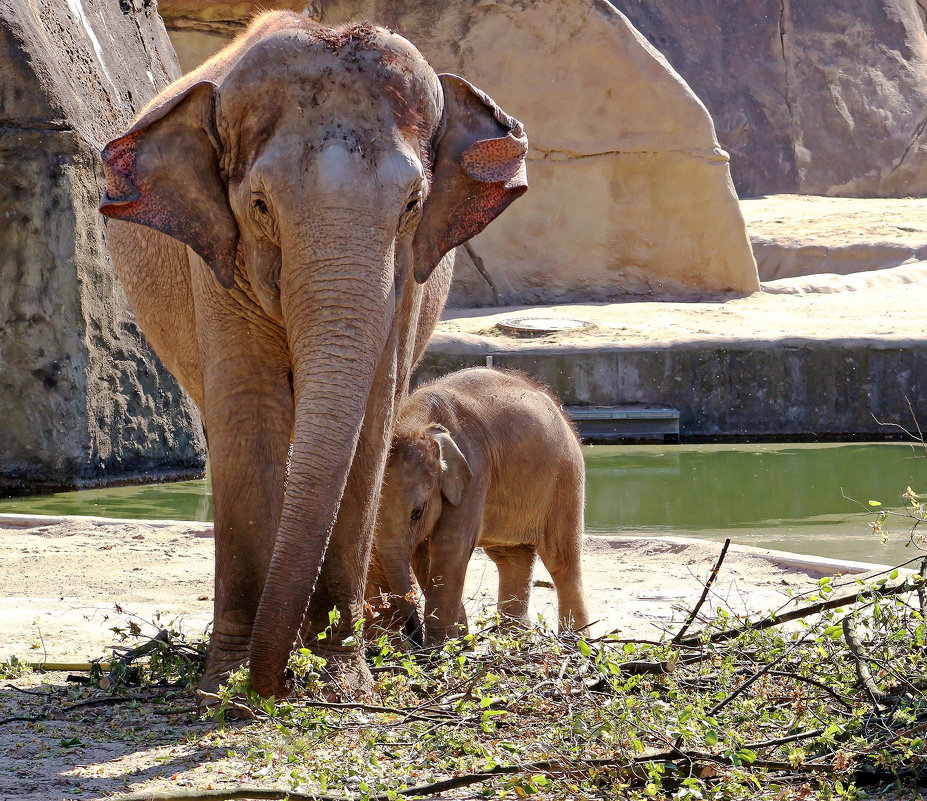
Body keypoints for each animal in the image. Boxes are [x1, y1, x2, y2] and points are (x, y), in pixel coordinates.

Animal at [99, 14, 528, 700]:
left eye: (413, 205)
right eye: (260, 207)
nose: (268, 688)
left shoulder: (407, 281)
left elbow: (372, 419)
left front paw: (339, 685)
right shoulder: (217, 265)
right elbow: (248, 413)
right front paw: (227, 689)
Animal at [368, 366, 592, 648]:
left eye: (416, 513)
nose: (414, 638)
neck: (417, 422)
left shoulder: (474, 473)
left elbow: (450, 545)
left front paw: (442, 647)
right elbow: (424, 554)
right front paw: (459, 640)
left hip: (565, 477)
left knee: (561, 560)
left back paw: (576, 642)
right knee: (511, 558)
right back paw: (515, 640)